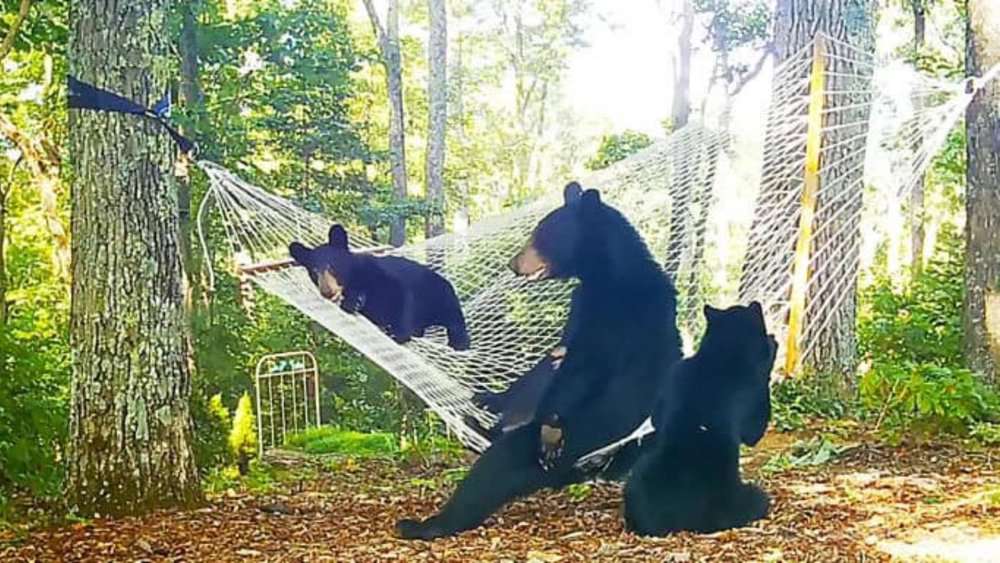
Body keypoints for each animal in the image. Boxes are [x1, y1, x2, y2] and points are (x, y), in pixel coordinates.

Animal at [289, 224, 470, 350]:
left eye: (332, 266)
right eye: (314, 271)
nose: (327, 291)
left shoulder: (380, 274)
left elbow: (401, 294)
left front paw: (400, 333)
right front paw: (353, 302)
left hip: (441, 294)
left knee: (453, 317)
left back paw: (459, 342)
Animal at [396, 181, 683, 540]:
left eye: (540, 235)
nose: (513, 264)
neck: (608, 272)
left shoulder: (620, 315)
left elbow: (587, 365)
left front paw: (548, 428)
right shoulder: (581, 304)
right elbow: (556, 356)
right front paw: (492, 398)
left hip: (586, 432)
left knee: (498, 467)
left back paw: (426, 523)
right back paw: (481, 418)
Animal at [622, 302, 776, 536]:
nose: (773, 335)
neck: (720, 357)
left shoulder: (675, 373)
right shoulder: (756, 394)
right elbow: (754, 430)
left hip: (637, 475)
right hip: (746, 498)